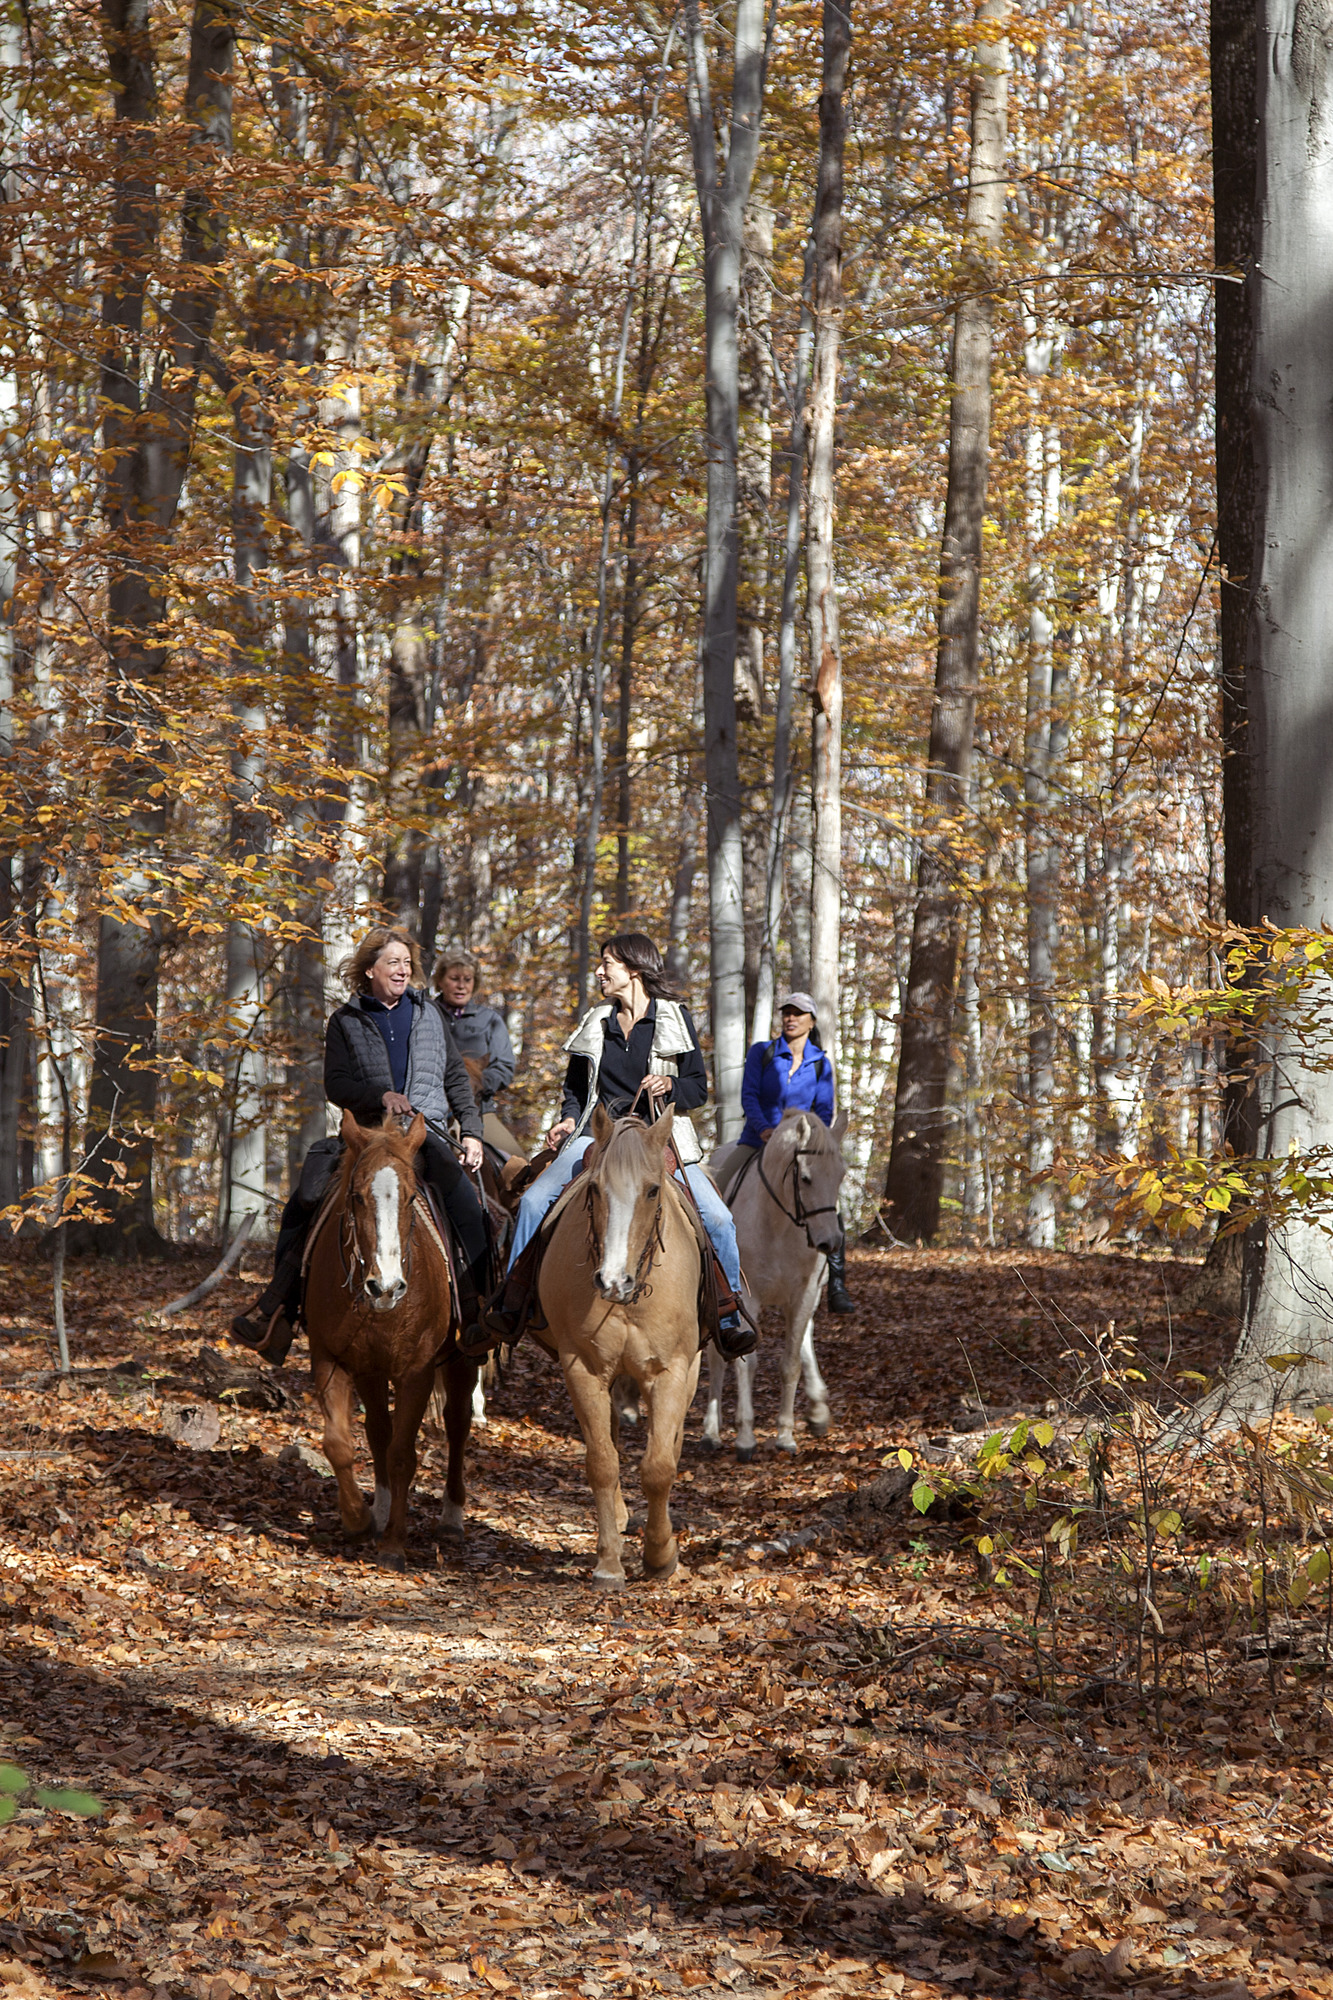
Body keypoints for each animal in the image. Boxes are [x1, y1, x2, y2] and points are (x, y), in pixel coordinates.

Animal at [304, 1107, 478, 1566]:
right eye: (357, 1196)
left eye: (412, 1197)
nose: (385, 1287)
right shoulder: (331, 1359)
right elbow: (340, 1444)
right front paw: (358, 1520)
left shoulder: (416, 1372)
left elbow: (403, 1454)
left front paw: (394, 1545)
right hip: (370, 1371)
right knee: (378, 1430)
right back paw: (379, 1511)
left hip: (463, 1361)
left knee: (457, 1424)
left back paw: (451, 1517)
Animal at [537, 1102, 703, 1588]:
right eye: (595, 1189)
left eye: (652, 1191)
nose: (613, 1281)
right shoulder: (583, 1368)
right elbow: (602, 1463)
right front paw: (609, 1563)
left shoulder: (671, 1372)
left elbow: (659, 1466)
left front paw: (661, 1554)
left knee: (671, 1445)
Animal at [703, 1108, 849, 1460]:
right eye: (805, 1178)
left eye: (840, 1176)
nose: (830, 1242)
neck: (779, 1224)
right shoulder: (746, 1299)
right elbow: (747, 1363)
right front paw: (745, 1438)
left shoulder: (804, 1294)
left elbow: (791, 1363)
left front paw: (785, 1435)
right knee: (717, 1356)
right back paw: (711, 1432)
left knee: (805, 1339)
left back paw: (817, 1410)